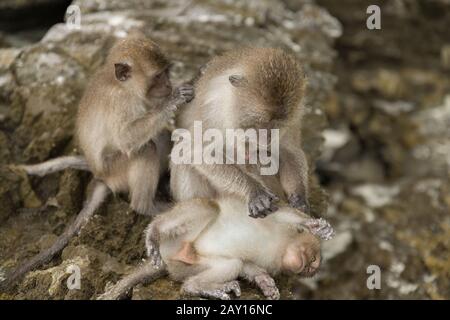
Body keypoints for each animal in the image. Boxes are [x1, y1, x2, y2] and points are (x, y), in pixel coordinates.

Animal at [1, 32, 195, 290]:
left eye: (166, 72)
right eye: (157, 77)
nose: (167, 85)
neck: (122, 86)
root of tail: (101, 176)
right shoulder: (120, 103)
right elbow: (127, 138)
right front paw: (174, 99)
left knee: (158, 136)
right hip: (117, 170)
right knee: (145, 148)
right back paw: (146, 206)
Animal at [96, 198, 332, 300]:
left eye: (311, 267)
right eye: (312, 258)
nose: (309, 267)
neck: (282, 247)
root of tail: (167, 255)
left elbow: (247, 265)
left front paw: (265, 282)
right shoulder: (280, 224)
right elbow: (284, 214)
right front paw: (315, 226)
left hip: (186, 264)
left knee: (231, 263)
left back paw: (195, 287)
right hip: (176, 239)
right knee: (209, 206)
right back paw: (154, 231)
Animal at [171, 46, 312, 219]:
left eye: (278, 124)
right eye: (260, 122)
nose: (267, 138)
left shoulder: (295, 116)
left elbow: (288, 151)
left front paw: (299, 199)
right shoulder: (214, 109)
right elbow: (196, 151)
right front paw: (255, 191)